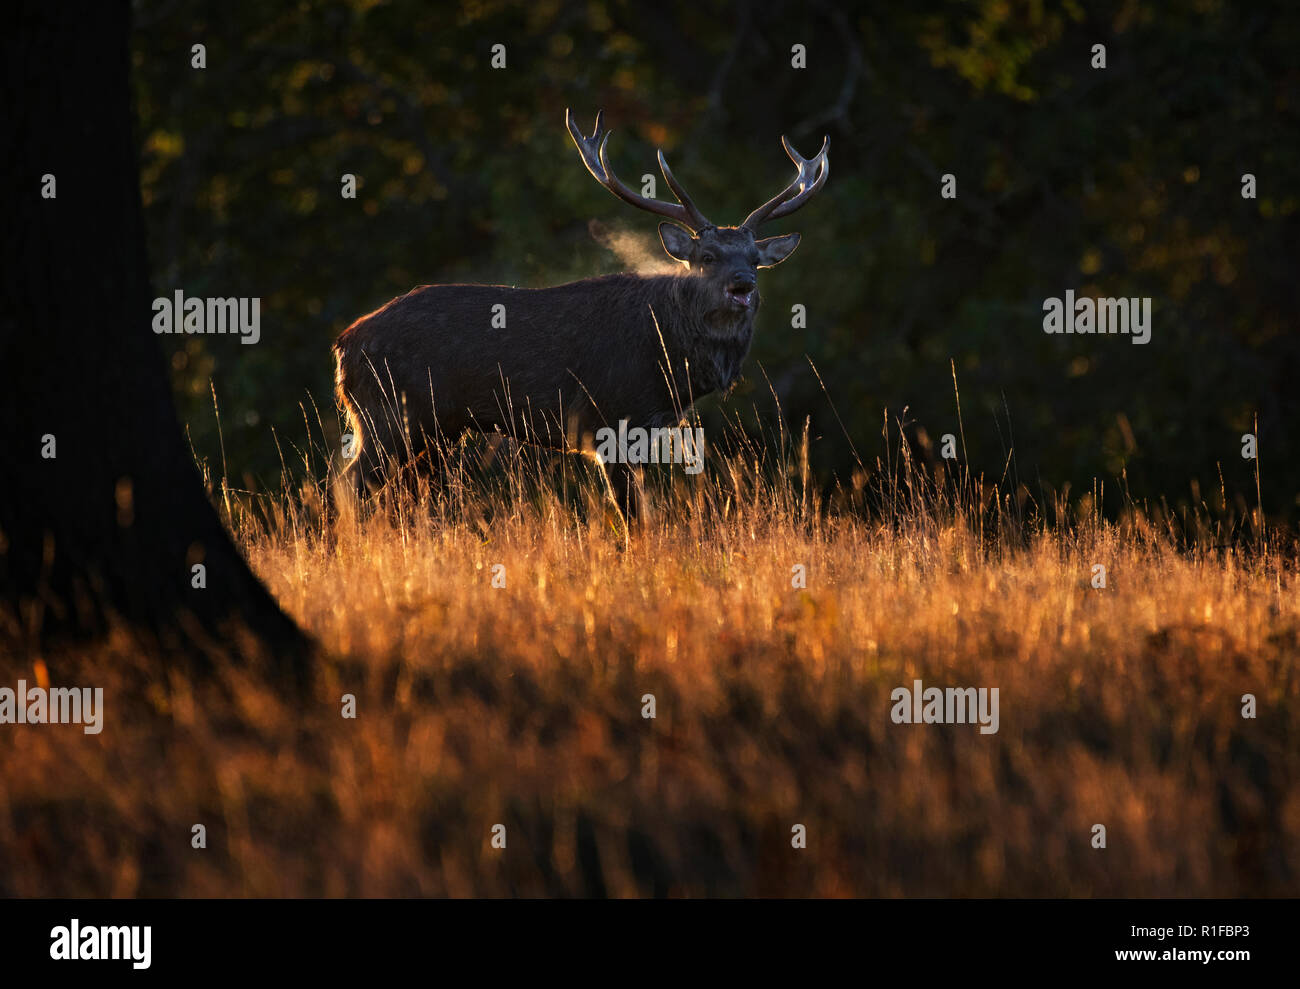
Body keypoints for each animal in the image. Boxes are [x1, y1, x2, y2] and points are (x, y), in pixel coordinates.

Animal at [332, 108, 829, 520]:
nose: (742, 284)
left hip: (433, 429)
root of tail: (344, 345)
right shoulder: (609, 420)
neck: (670, 359)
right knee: (347, 484)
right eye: (707, 257)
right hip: (389, 414)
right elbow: (633, 519)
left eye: (755, 258)